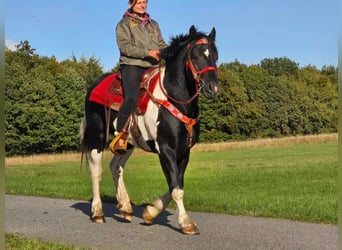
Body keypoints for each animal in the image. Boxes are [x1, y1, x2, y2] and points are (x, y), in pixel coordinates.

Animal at [79, 25, 219, 234]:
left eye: (215, 56)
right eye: (195, 56)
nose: (213, 88)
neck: (172, 97)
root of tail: (93, 86)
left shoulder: (183, 151)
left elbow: (175, 184)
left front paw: (150, 212)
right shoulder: (166, 149)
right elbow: (176, 188)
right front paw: (186, 223)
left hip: (126, 143)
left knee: (116, 166)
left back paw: (125, 207)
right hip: (98, 138)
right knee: (96, 171)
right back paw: (98, 212)